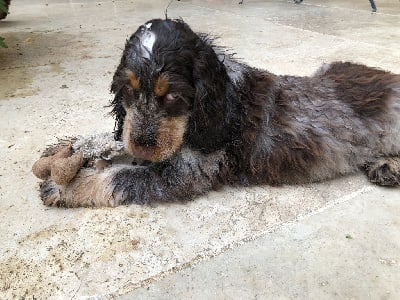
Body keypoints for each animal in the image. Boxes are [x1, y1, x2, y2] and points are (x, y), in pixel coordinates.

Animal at [39, 18, 400, 206]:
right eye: (128, 90)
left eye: (173, 96)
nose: (142, 146)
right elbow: (115, 139)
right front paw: (73, 146)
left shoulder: (187, 173)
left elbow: (119, 176)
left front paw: (67, 185)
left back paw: (388, 165)